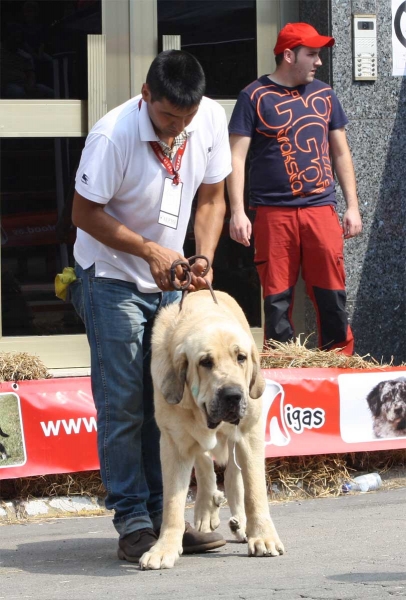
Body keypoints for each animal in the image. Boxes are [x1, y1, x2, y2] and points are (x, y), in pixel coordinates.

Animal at [140, 288, 286, 568]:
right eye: (205, 362)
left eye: (241, 358)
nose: (232, 395)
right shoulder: (175, 444)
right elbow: (172, 503)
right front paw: (164, 548)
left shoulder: (250, 435)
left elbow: (254, 491)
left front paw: (263, 536)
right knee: (206, 467)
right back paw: (207, 511)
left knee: (234, 476)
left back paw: (240, 523)